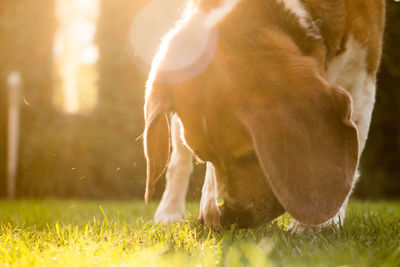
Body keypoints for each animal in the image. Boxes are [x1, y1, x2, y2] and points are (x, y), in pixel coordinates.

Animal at [143, 0, 384, 230]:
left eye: (253, 155)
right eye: (204, 156)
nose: (231, 218)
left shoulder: (361, 73)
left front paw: (317, 225)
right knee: (178, 162)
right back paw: (171, 212)